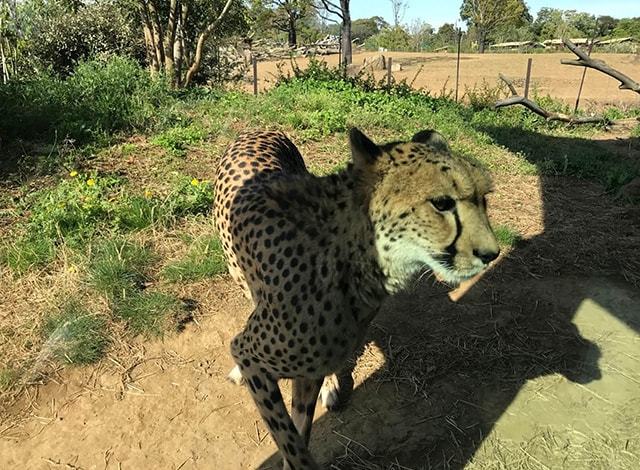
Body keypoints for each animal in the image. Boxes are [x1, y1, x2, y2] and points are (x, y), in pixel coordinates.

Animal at [215, 126, 500, 468]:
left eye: (483, 199)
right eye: (441, 203)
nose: (492, 254)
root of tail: (261, 129)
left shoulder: (308, 368)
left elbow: (300, 429)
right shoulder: (250, 353)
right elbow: (291, 442)